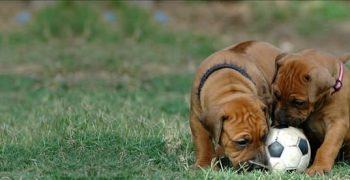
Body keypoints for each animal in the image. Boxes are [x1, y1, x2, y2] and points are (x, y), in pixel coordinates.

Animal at [189, 40, 282, 169]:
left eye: (264, 137)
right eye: (242, 142)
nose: (259, 167)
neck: (230, 86)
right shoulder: (196, 116)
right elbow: (202, 141)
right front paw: (204, 164)